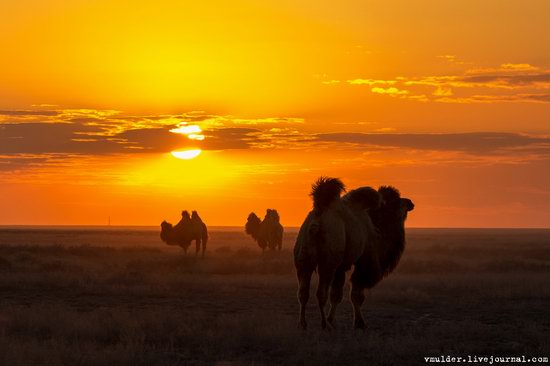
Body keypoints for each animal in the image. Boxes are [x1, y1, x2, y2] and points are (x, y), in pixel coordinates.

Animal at [296, 177, 416, 328]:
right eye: (396, 201)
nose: (410, 202)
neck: (376, 228)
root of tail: (317, 219)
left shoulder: (341, 267)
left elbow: (336, 295)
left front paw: (332, 320)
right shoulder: (363, 262)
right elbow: (356, 295)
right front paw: (359, 323)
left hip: (303, 260)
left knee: (303, 292)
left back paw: (303, 324)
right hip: (328, 263)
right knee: (321, 293)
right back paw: (324, 325)